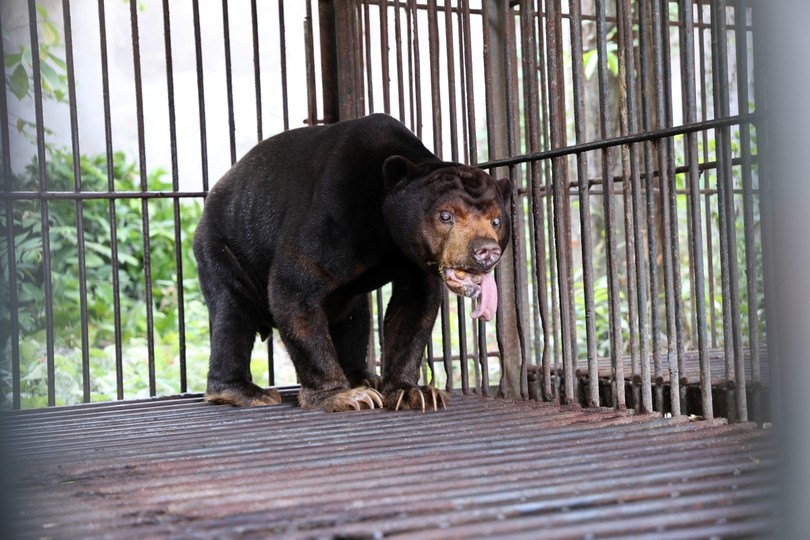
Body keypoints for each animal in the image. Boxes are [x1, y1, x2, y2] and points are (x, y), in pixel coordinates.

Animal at [193, 113, 511, 412]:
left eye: (496, 221)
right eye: (445, 216)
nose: (486, 251)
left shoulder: (415, 258)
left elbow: (414, 307)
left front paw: (413, 392)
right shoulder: (332, 216)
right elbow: (293, 288)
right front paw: (342, 396)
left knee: (354, 318)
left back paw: (363, 377)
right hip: (219, 249)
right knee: (233, 312)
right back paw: (245, 392)